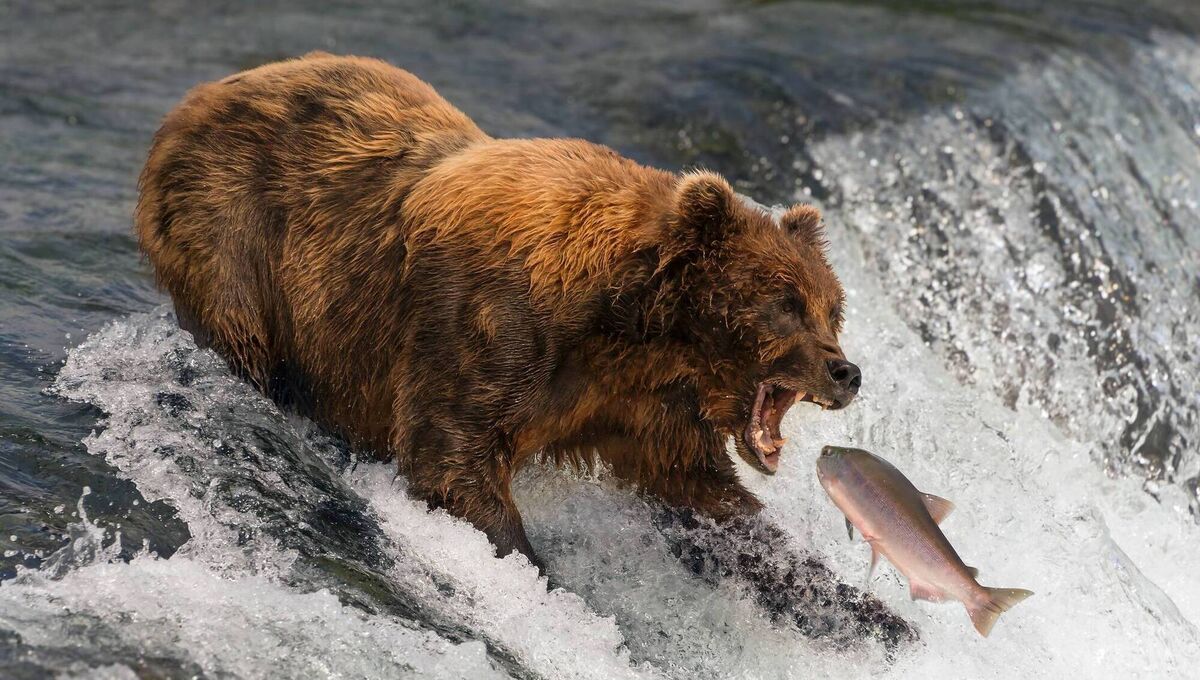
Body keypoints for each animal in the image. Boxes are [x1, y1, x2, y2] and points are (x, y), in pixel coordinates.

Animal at [135, 52, 862, 569]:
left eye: (832, 310)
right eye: (784, 304)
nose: (847, 372)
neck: (630, 324)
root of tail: (198, 96)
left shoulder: (639, 404)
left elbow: (708, 495)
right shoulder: (490, 323)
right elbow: (452, 455)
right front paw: (532, 568)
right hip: (234, 231)